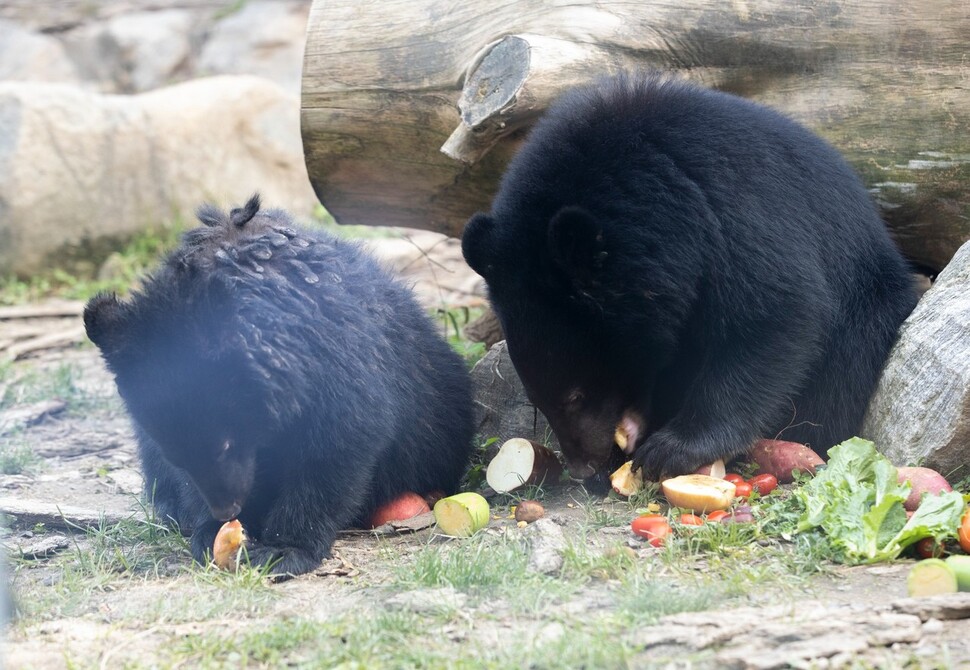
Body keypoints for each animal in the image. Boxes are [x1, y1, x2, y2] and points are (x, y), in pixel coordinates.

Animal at [85, 196, 470, 576]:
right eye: (176, 454)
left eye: (226, 444)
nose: (228, 510)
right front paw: (210, 533)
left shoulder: (338, 359)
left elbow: (337, 445)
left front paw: (283, 549)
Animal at [462, 73, 916, 486]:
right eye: (535, 397)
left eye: (576, 395)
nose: (582, 467)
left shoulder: (733, 212)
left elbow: (776, 311)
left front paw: (671, 450)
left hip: (864, 311)